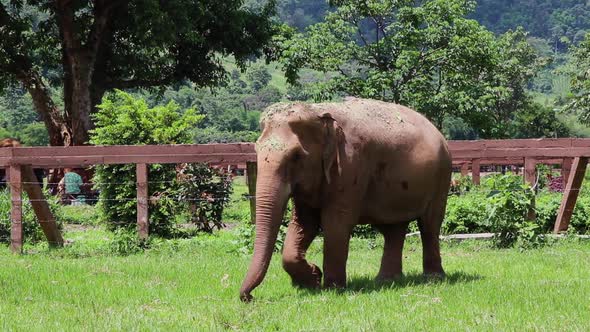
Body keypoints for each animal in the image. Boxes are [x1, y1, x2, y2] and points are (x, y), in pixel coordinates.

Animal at [240, 97, 454, 302]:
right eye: (256, 150)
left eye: (296, 156)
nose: (249, 297)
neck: (318, 112)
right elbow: (304, 223)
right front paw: (313, 279)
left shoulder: (350, 164)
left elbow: (335, 223)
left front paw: (332, 289)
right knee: (393, 230)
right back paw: (386, 280)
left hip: (442, 177)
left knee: (429, 225)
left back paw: (433, 278)